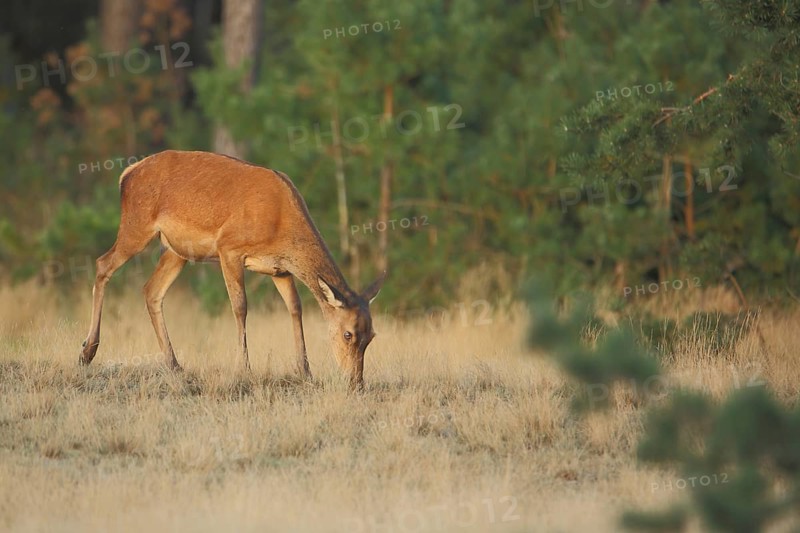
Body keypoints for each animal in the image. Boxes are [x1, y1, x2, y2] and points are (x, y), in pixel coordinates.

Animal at [79, 150, 385, 390]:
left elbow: (295, 308)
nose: (356, 382)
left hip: (178, 250)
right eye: (348, 334)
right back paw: (87, 351)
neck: (281, 225)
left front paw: (305, 371)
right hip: (137, 225)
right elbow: (240, 306)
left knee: (151, 290)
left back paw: (174, 364)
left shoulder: (280, 270)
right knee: (103, 264)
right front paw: (245, 369)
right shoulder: (229, 249)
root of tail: (126, 175)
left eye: (371, 336)